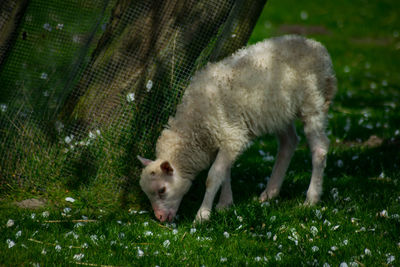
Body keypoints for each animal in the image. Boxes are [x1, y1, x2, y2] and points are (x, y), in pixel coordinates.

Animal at [138, 35, 338, 224]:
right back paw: (270, 193)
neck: (195, 125)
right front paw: (224, 204)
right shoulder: (226, 138)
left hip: (314, 101)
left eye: (162, 190)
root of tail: (317, 46)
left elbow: (213, 176)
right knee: (289, 143)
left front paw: (203, 215)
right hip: (280, 112)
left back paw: (311, 199)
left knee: (319, 149)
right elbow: (225, 173)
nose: (160, 218)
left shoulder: (231, 135)